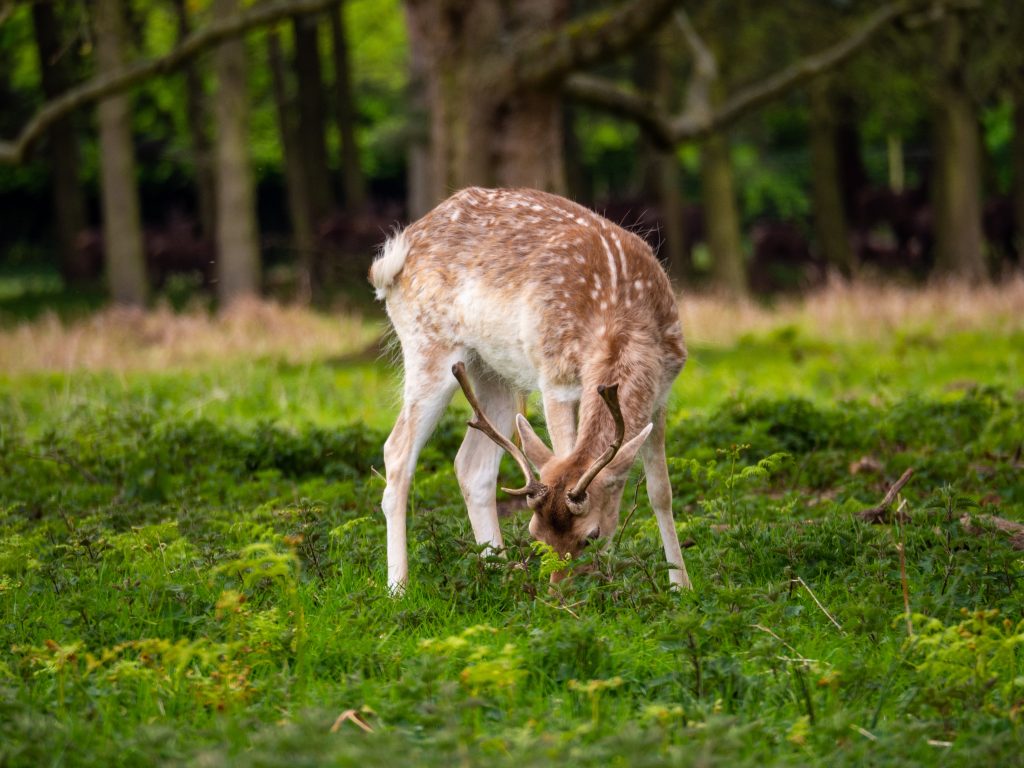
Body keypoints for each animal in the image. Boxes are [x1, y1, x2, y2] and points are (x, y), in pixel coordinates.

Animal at [368, 188, 688, 593]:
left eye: (592, 535)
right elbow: (566, 453)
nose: (557, 594)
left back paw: (499, 573)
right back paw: (399, 588)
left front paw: (681, 586)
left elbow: (661, 491)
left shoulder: (662, 391)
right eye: (536, 533)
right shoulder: (556, 378)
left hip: (493, 372)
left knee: (472, 465)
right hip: (427, 346)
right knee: (396, 451)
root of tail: (392, 259)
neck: (620, 315)